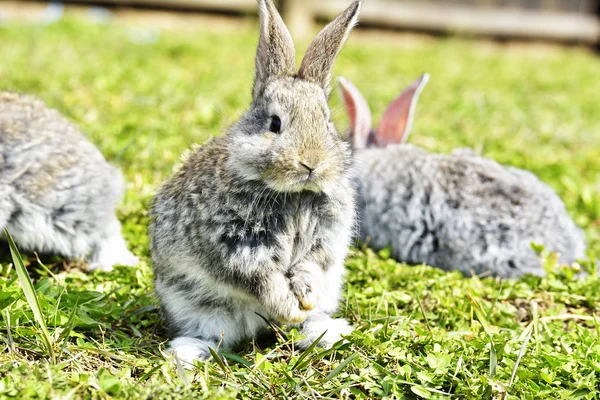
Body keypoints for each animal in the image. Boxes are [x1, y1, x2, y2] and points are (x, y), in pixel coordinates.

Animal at [149, 0, 366, 366]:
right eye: (274, 124)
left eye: (326, 121)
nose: (312, 162)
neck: (294, 194)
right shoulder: (235, 247)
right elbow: (262, 280)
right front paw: (288, 306)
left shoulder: (327, 239)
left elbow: (312, 264)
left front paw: (304, 296)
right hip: (196, 306)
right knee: (213, 334)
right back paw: (189, 352)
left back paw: (324, 331)